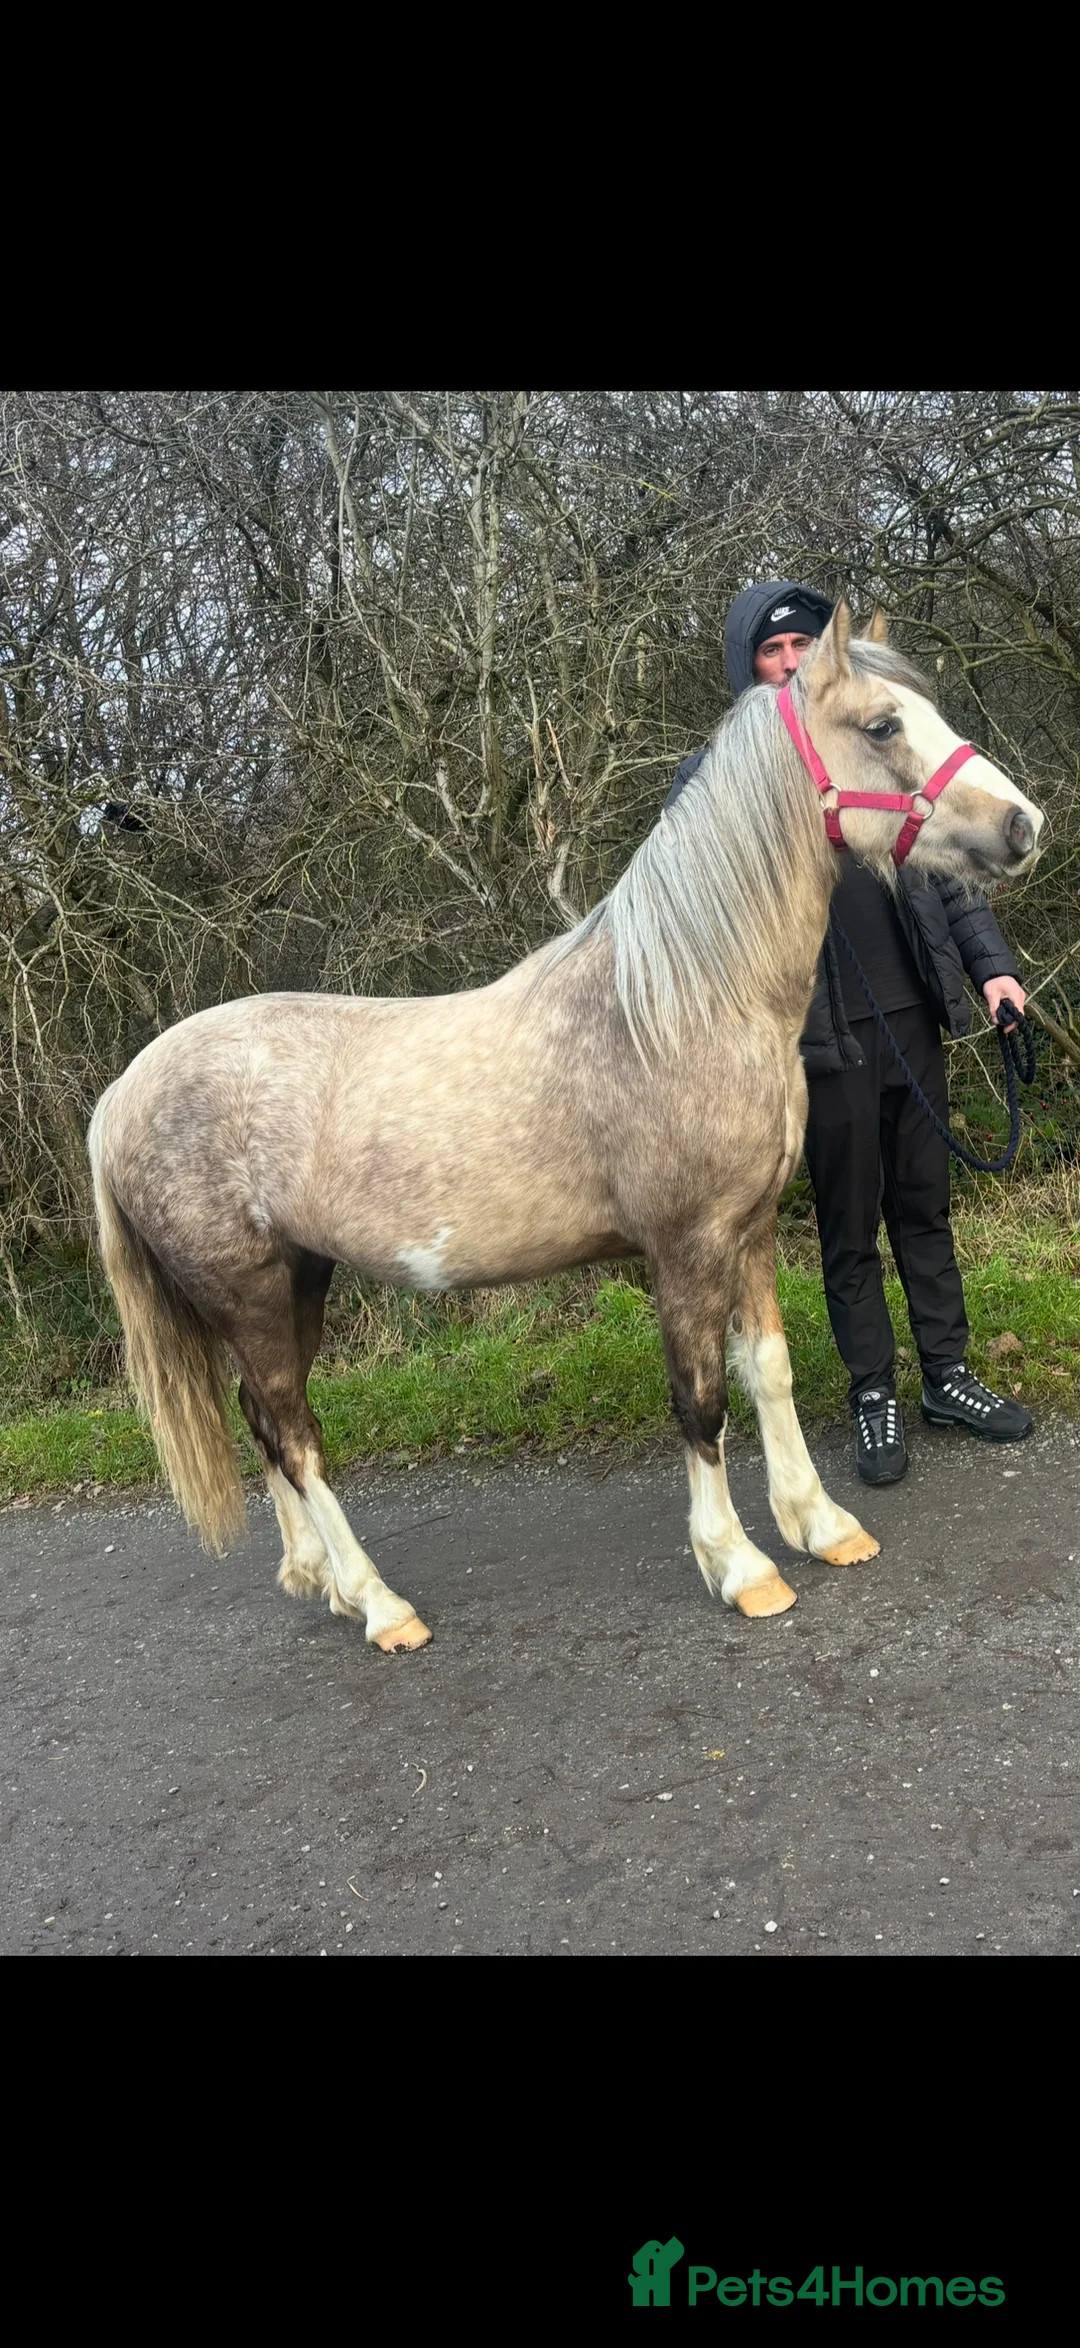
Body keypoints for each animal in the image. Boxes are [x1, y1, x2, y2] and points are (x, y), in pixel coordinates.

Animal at [88, 604, 1044, 1650]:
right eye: (881, 725)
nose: (1024, 825)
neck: (682, 1001)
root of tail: (120, 1096)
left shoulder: (746, 1230)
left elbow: (770, 1373)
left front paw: (822, 1525)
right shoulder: (684, 1246)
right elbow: (701, 1401)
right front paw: (741, 1565)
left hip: (299, 1281)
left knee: (267, 1426)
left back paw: (320, 1581)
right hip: (249, 1295)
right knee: (294, 1436)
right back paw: (379, 1604)